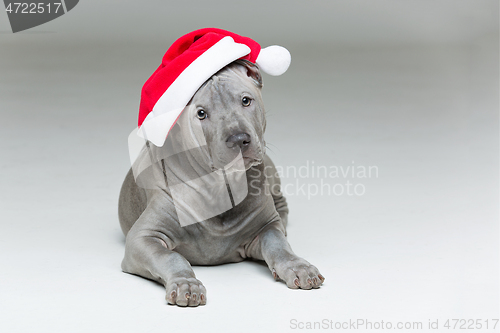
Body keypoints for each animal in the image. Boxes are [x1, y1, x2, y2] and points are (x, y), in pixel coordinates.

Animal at [119, 58, 326, 304]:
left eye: (246, 101)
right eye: (201, 114)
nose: (239, 139)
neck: (220, 186)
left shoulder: (265, 226)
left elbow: (277, 243)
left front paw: (298, 267)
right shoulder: (143, 238)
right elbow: (170, 257)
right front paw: (186, 283)